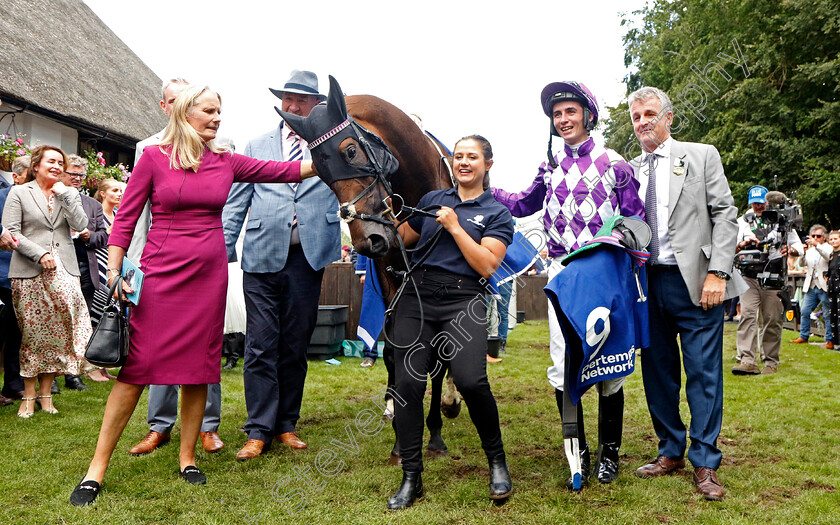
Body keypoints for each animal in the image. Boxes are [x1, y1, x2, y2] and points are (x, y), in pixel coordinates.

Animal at [278, 74, 462, 462]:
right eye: (319, 171)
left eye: (350, 151)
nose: (368, 241)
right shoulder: (392, 279)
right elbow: (393, 349)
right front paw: (399, 434)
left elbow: (439, 354)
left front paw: (435, 432)